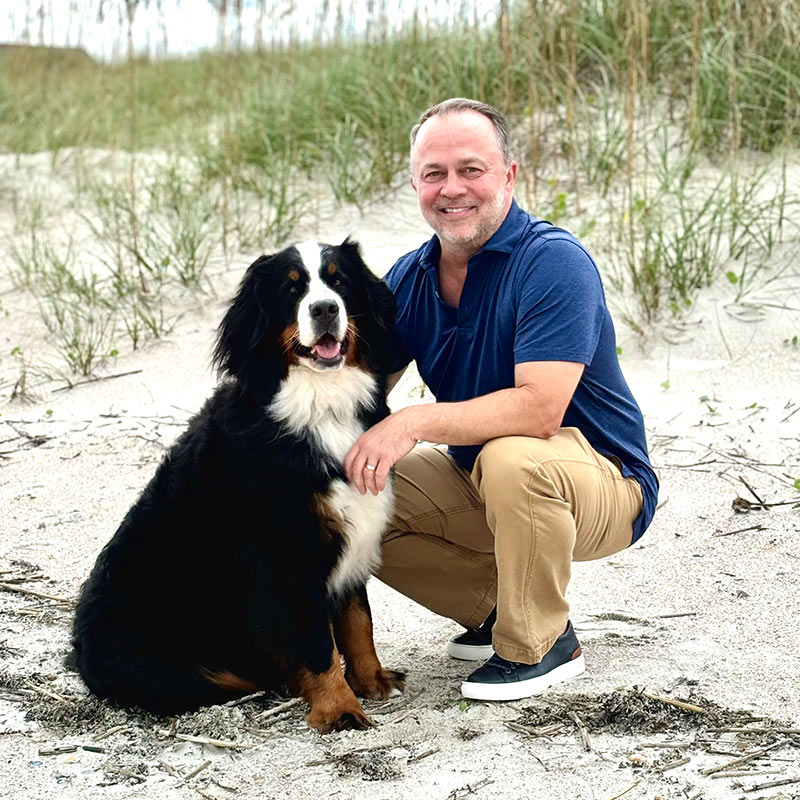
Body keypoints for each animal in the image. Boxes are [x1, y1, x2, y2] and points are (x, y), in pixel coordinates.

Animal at [71, 238, 406, 732]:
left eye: (339, 280)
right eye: (292, 289)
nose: (325, 309)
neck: (320, 406)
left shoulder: (350, 534)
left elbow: (358, 622)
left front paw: (371, 681)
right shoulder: (290, 555)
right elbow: (319, 643)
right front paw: (340, 709)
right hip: (165, 665)